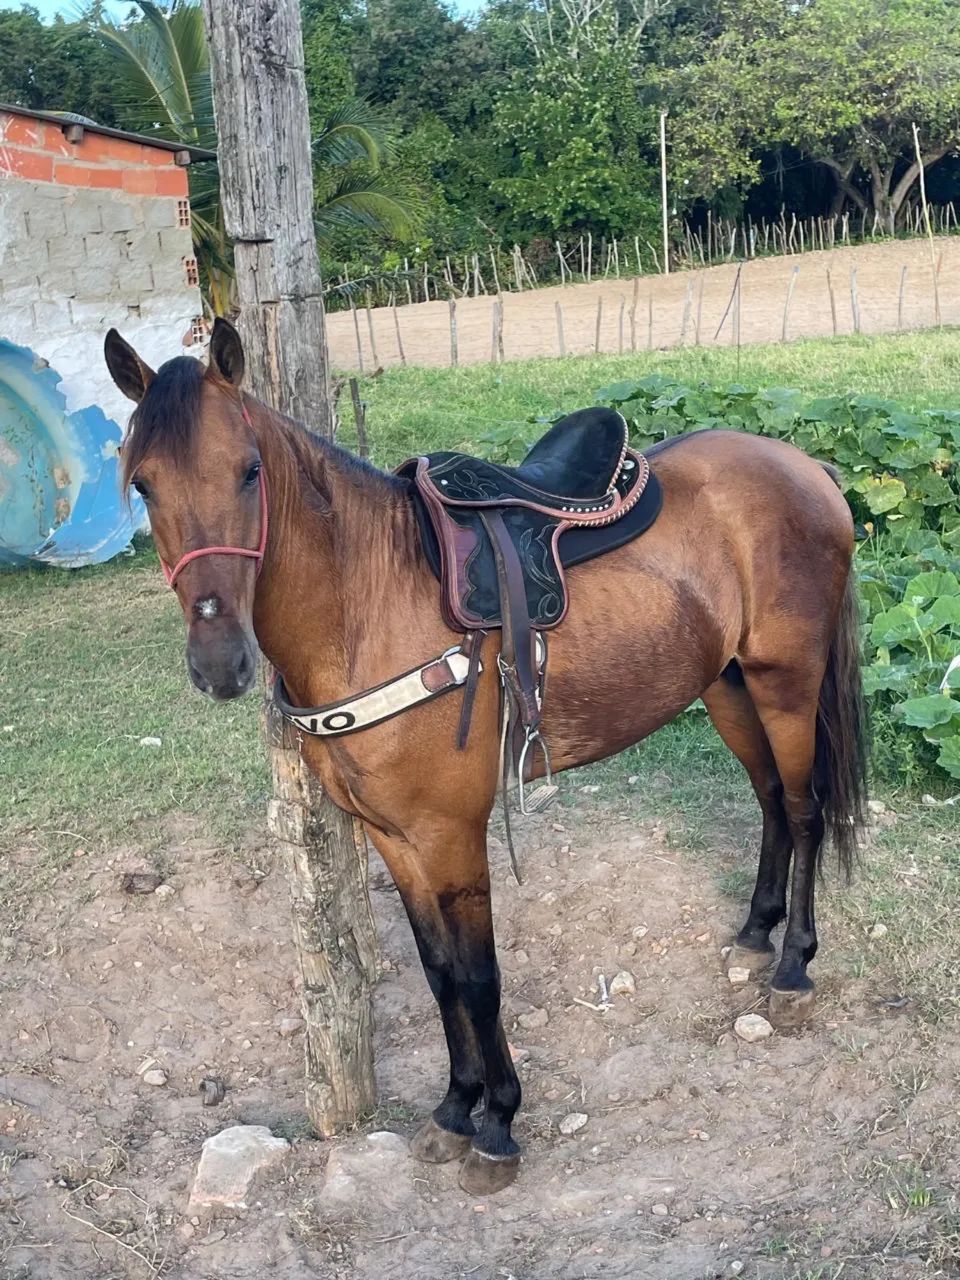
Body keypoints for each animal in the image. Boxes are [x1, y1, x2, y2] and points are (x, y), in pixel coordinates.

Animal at [104, 318, 866, 1196]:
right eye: (143, 485)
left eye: (249, 471)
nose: (219, 662)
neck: (367, 603)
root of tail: (806, 467)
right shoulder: (392, 836)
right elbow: (440, 973)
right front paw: (454, 1108)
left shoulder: (450, 832)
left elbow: (478, 975)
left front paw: (498, 1122)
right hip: (727, 686)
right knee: (771, 800)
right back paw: (753, 934)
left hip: (785, 683)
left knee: (804, 810)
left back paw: (793, 968)